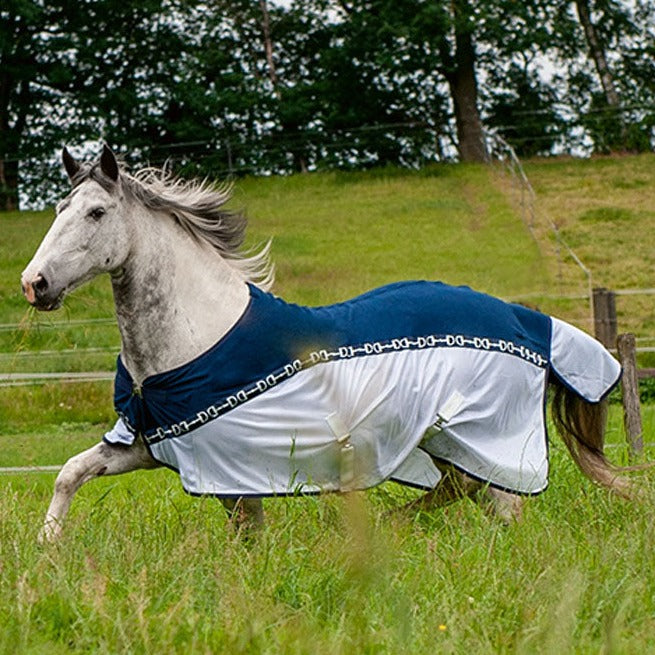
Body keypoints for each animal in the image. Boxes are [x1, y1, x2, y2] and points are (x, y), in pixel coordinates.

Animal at [21, 145, 632, 543]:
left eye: (97, 212)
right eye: (58, 210)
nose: (35, 283)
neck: (197, 336)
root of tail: (524, 318)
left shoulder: (229, 465)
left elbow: (246, 536)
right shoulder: (154, 443)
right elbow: (70, 472)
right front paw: (48, 549)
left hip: (480, 437)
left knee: (503, 505)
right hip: (444, 442)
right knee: (461, 490)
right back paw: (391, 526)